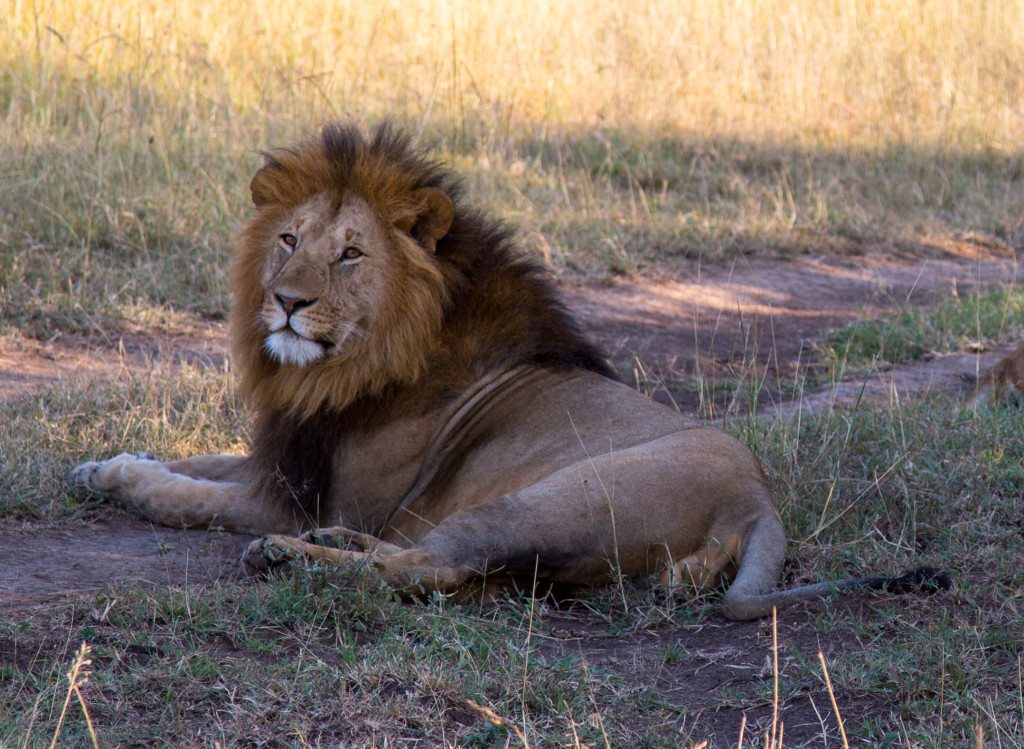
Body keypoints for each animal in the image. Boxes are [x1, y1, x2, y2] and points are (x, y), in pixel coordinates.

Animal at [70, 122, 950, 622]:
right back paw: (328, 546)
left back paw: (295, 559)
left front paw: (127, 478)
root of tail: (761, 499)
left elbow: (184, 493)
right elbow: (193, 457)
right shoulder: (287, 458)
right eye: (288, 239)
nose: (286, 301)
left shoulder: (288, 495)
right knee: (430, 564)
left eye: (351, 253)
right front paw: (97, 463)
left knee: (431, 567)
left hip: (547, 498)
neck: (343, 368)